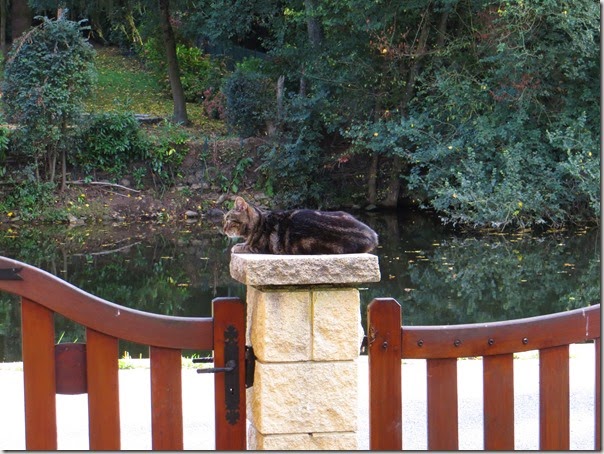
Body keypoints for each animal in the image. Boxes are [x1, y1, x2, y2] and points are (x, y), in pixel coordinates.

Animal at [223, 196, 379, 254]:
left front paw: (238, 246)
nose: (223, 229)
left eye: (229, 219)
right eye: (224, 219)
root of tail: (373, 235)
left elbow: (244, 247)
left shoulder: (259, 248)